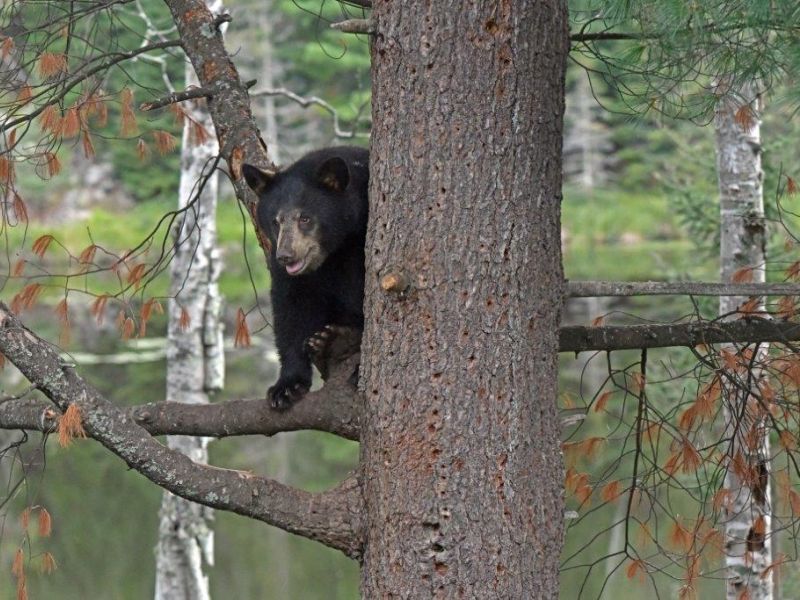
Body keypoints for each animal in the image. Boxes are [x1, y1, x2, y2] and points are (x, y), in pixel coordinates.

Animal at [242, 146, 368, 410]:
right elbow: (290, 309)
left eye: (305, 218)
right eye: (275, 221)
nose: (286, 256)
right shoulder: (287, 271)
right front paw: (286, 387)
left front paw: (359, 370)